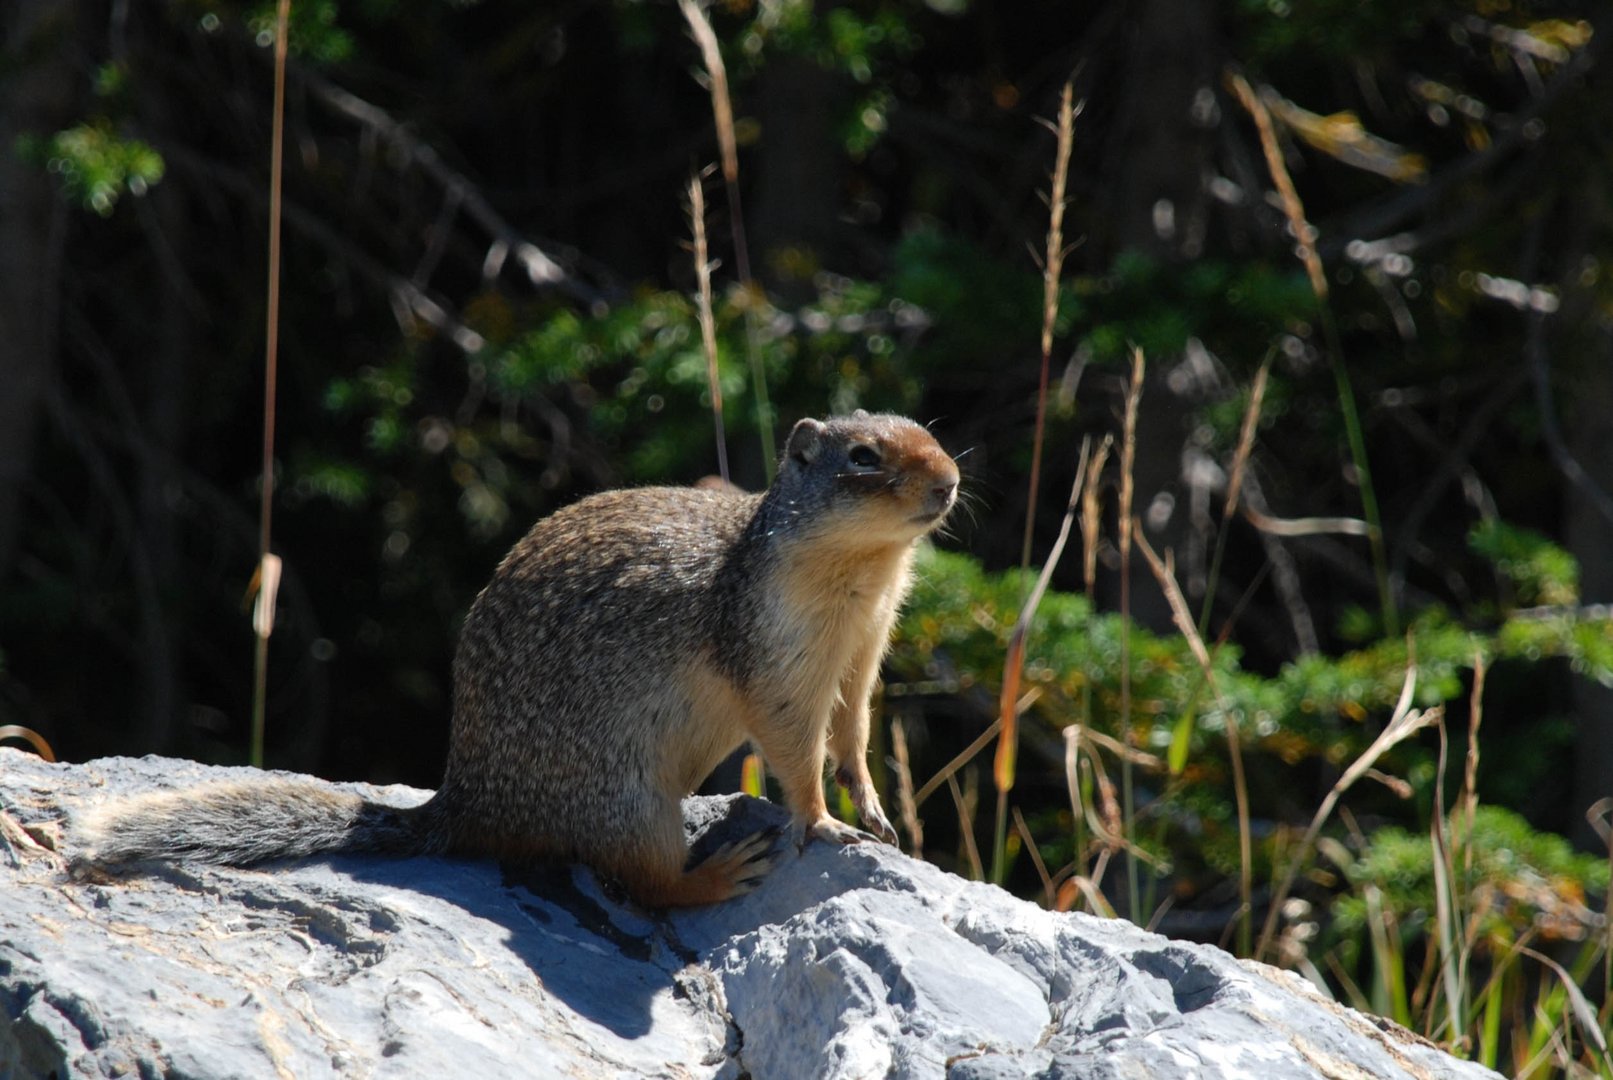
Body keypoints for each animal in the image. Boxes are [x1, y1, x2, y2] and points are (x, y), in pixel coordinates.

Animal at [72, 411, 954, 909]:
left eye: (930, 431)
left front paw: (873, 808)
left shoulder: (863, 651)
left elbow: (853, 730)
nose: (950, 479)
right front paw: (822, 822)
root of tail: (467, 806)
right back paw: (718, 874)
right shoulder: (777, 658)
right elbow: (794, 748)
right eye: (863, 456)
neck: (864, 573)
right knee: (647, 886)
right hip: (627, 803)